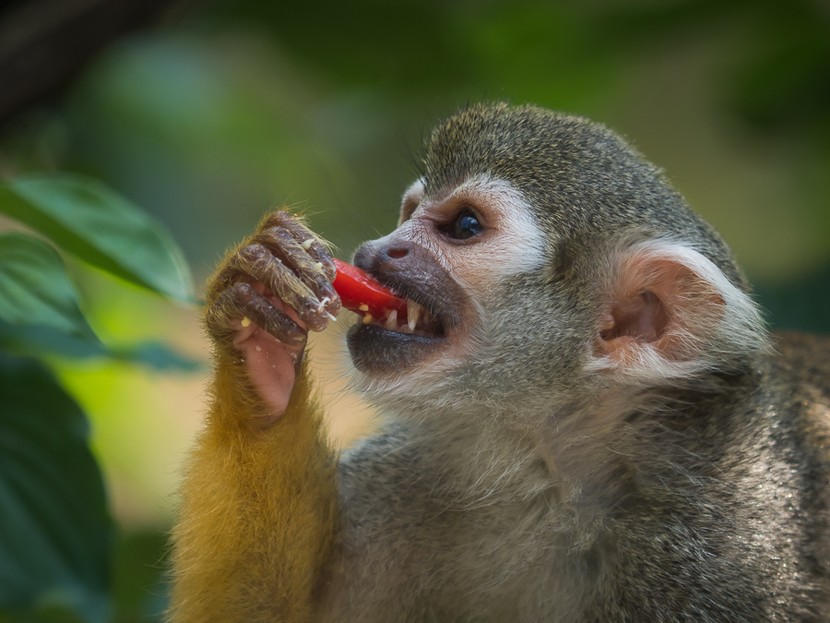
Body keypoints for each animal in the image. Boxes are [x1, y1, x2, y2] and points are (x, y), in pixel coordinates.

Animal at [171, 105, 830, 620]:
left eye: (464, 226)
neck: (548, 468)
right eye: (409, 211)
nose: (380, 249)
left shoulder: (725, 550)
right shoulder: (414, 471)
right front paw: (259, 327)